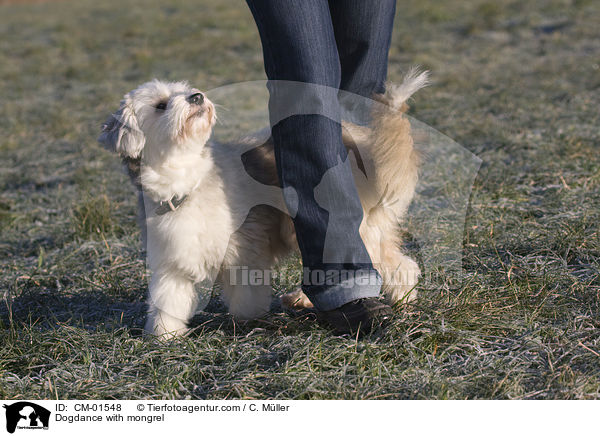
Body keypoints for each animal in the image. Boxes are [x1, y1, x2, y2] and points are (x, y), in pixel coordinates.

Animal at [98, 71, 426, 338]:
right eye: (160, 105)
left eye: (185, 90)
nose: (197, 96)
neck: (188, 181)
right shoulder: (172, 260)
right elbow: (169, 301)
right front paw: (165, 336)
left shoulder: (243, 249)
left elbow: (246, 296)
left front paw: (248, 321)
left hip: (352, 231)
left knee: (402, 266)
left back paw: (403, 301)